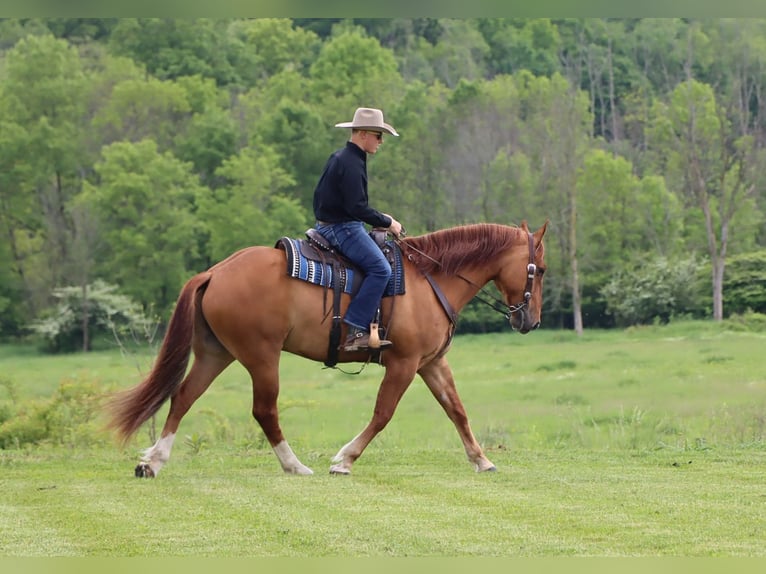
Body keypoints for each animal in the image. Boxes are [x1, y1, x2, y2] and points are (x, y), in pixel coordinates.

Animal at [108, 220, 548, 476]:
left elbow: (456, 410)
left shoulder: (432, 363)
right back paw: (294, 465)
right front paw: (344, 459)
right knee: (264, 410)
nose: (530, 320)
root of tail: (215, 272)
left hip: (216, 354)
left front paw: (481, 459)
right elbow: (383, 414)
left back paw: (153, 461)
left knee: (183, 397)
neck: (430, 279)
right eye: (540, 269)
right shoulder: (404, 364)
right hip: (261, 357)